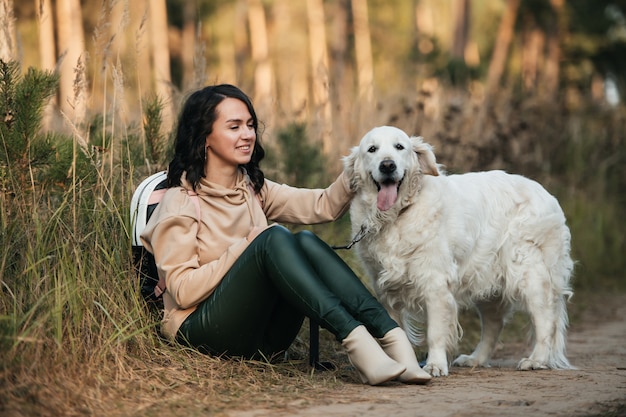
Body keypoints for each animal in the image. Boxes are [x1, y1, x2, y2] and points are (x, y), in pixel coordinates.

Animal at [344, 125, 572, 376]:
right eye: (372, 149)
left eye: (399, 147)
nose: (387, 165)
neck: (397, 216)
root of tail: (547, 195)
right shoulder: (385, 289)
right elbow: (394, 330)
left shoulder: (435, 283)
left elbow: (435, 332)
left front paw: (435, 364)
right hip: (487, 280)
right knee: (494, 324)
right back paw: (476, 358)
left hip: (528, 273)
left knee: (545, 320)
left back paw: (536, 359)